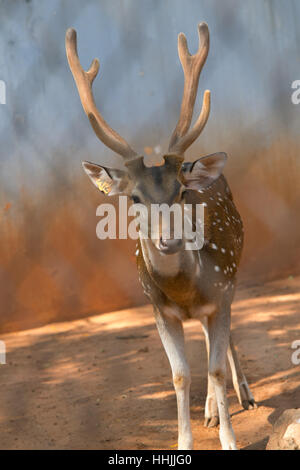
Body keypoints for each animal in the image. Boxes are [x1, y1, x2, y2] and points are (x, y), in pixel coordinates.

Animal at [65, 23, 255, 452]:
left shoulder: (221, 291)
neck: (185, 292)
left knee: (224, 342)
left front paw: (230, 441)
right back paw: (210, 411)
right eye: (135, 197)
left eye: (181, 192)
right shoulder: (158, 310)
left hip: (233, 277)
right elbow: (180, 375)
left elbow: (215, 369)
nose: (169, 240)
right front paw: (185, 441)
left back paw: (245, 395)